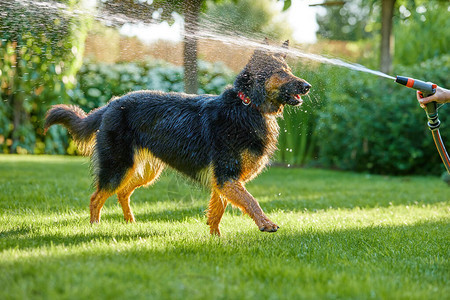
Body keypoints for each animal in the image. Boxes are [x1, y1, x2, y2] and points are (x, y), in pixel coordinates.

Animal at [44, 39, 310, 236]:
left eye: (289, 71)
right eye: (281, 73)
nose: (307, 86)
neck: (247, 106)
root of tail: (112, 103)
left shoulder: (224, 181)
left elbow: (218, 210)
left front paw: (216, 239)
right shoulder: (227, 176)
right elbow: (250, 200)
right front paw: (265, 223)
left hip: (145, 171)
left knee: (122, 192)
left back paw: (130, 223)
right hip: (118, 166)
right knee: (96, 197)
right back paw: (94, 228)